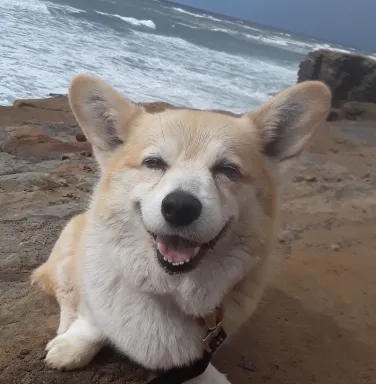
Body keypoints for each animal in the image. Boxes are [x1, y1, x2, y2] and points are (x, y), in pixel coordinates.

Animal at [30, 73, 330, 382]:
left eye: (227, 169)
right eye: (153, 163)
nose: (180, 207)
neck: (169, 290)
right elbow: (93, 319)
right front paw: (75, 345)